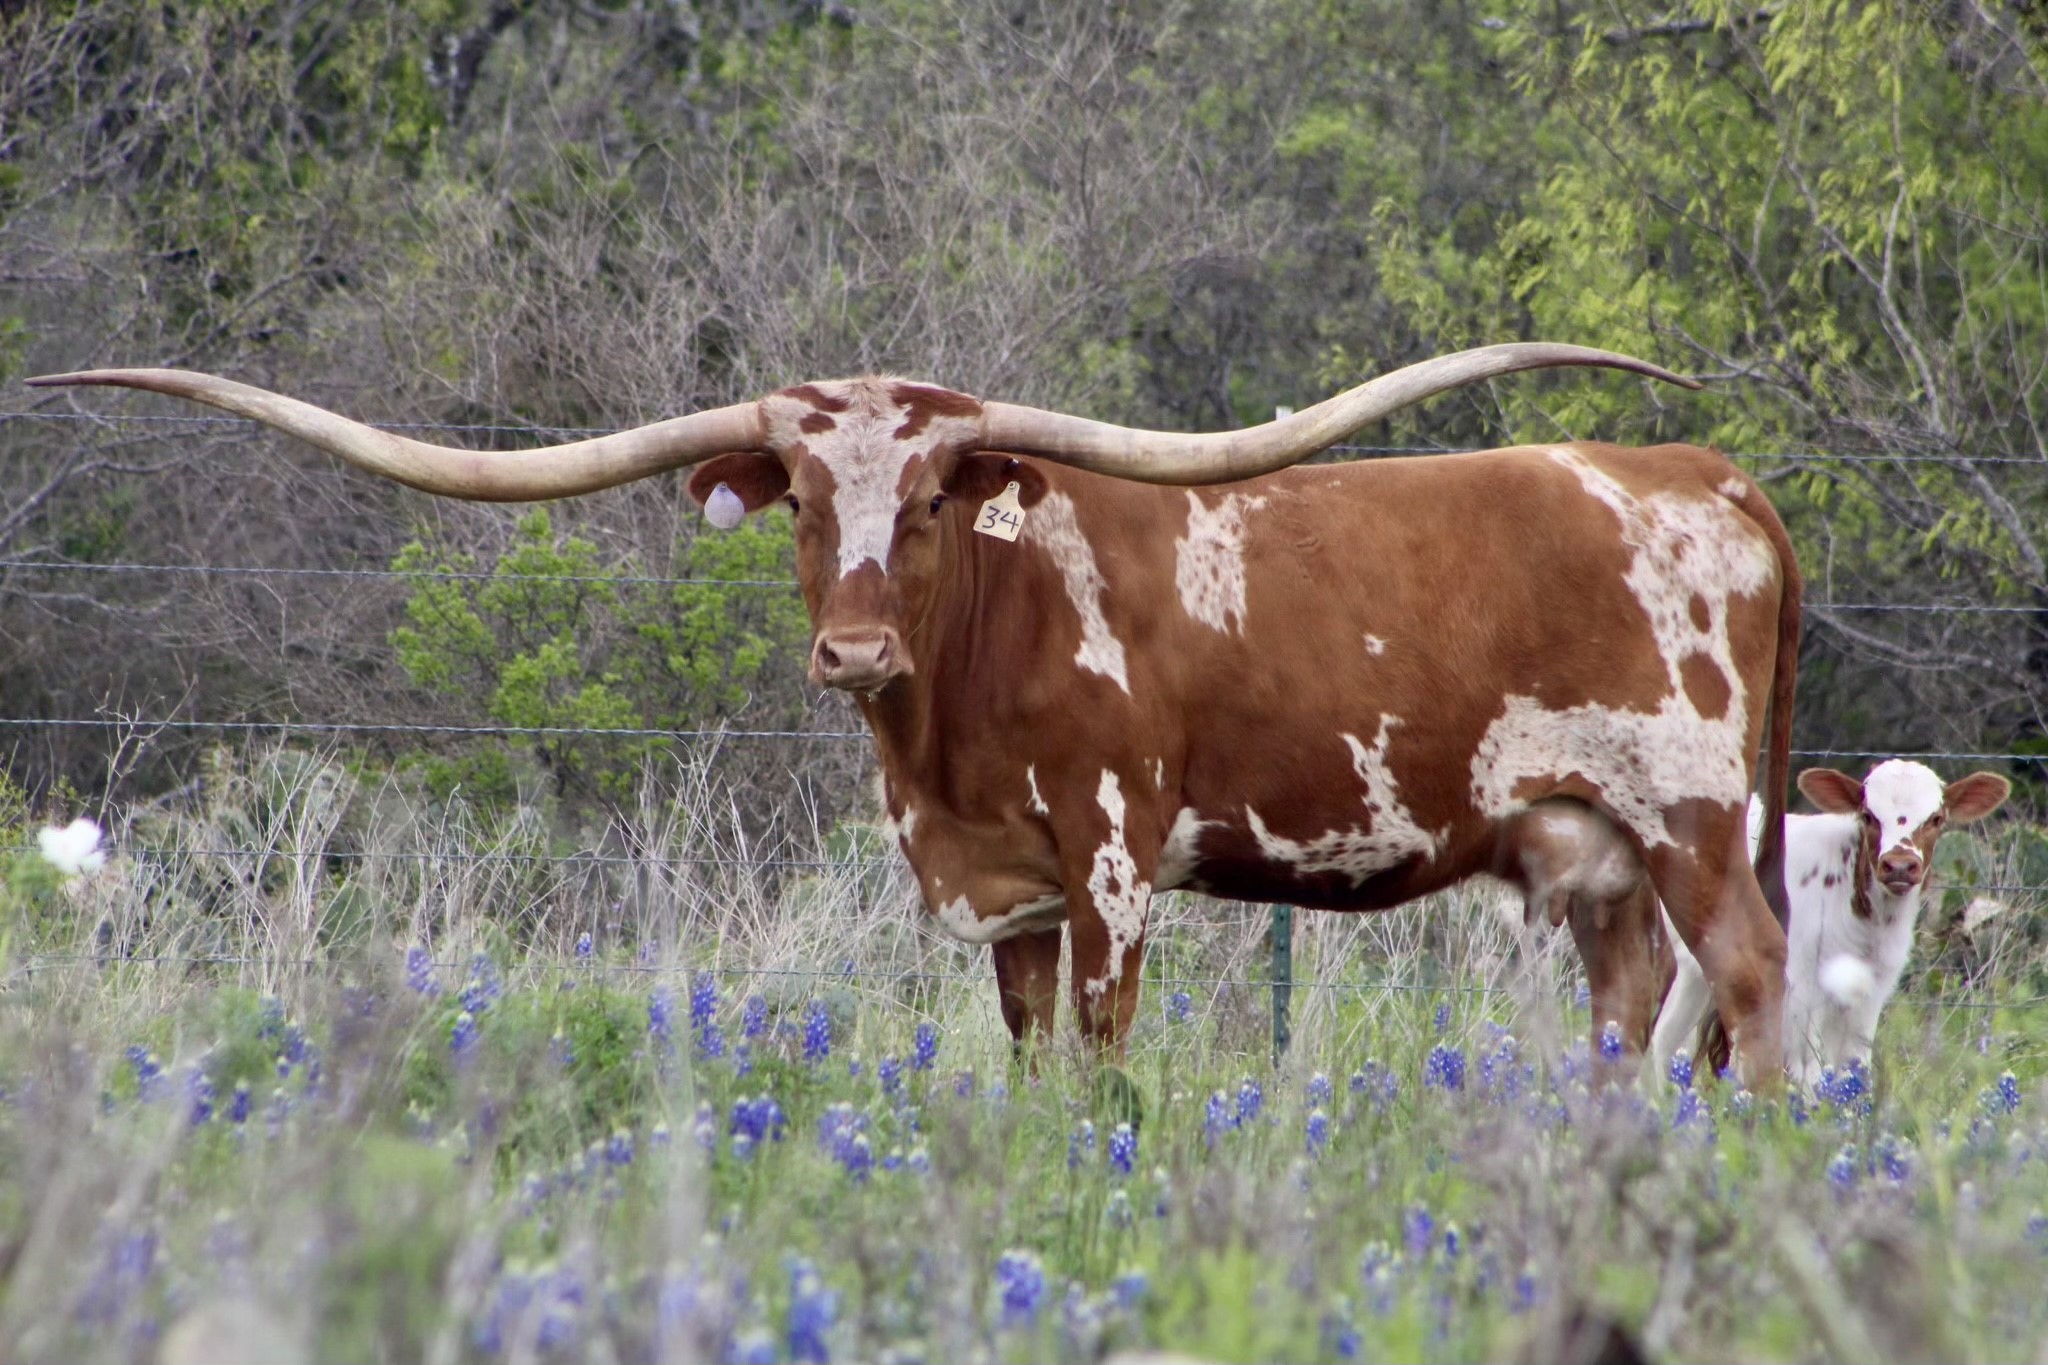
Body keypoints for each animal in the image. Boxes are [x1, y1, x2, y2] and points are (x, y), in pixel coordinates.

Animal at [30, 342, 1803, 1082]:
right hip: (1587, 845)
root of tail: (1705, 470)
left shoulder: (1109, 863)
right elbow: (1024, 1056)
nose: (855, 651)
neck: (948, 721)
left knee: (1751, 976)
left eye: (942, 494)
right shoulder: (997, 886)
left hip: (1698, 817)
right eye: (806, 501)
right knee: (1629, 1007)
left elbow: (1101, 1055)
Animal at [1650, 760, 2010, 1087]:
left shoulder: (1870, 994)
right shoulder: (1799, 989)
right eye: (1868, 815)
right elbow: (1808, 1072)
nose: (1899, 866)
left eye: (1936, 819)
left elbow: (1853, 1066)